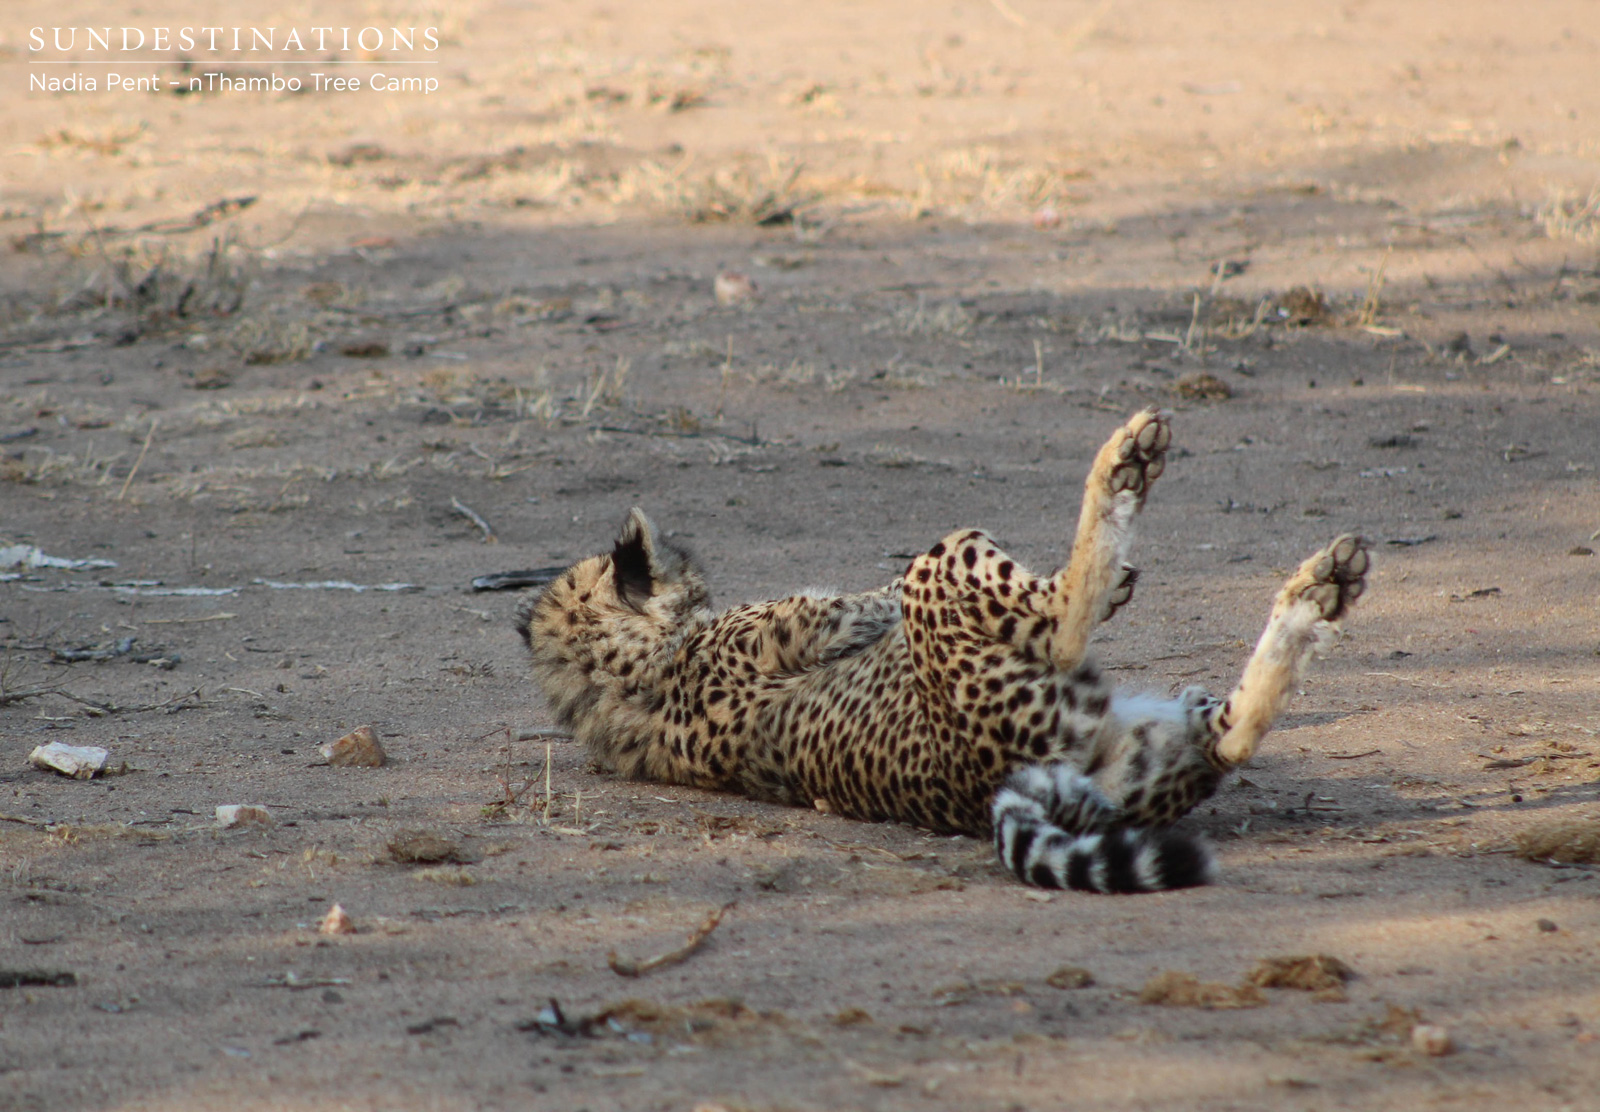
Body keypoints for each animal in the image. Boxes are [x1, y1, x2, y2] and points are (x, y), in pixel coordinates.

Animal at [516, 408, 1370, 893]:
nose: (696, 567)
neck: (620, 684)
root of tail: (989, 787)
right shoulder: (817, 622)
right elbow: (873, 596)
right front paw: (1115, 577)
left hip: (1157, 742)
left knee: (1229, 733)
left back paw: (1316, 593)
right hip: (953, 566)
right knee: (1061, 622)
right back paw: (1124, 471)